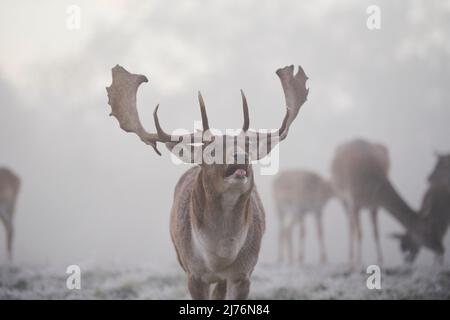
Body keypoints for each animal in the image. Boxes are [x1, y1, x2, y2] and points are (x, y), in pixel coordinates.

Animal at [106, 63, 310, 298]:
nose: (241, 157)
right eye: (211, 150)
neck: (219, 257)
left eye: (247, 147)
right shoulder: (193, 273)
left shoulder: (244, 273)